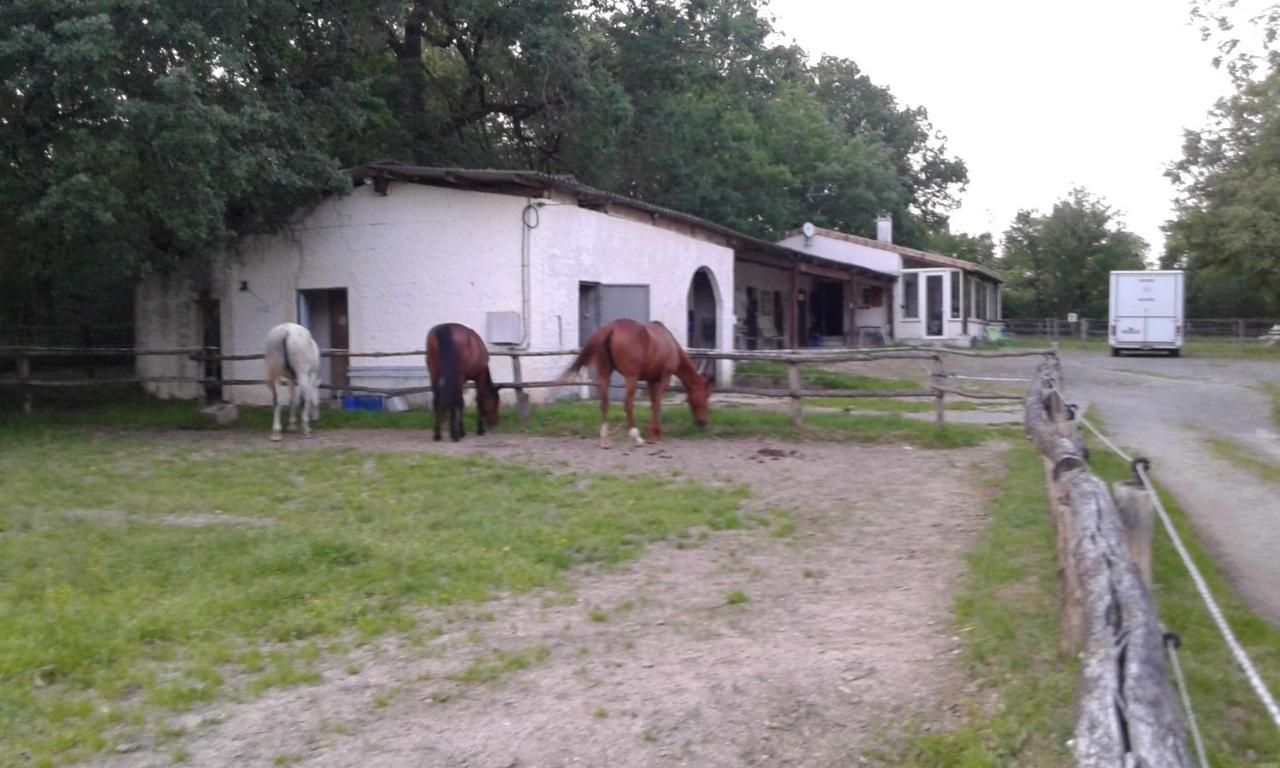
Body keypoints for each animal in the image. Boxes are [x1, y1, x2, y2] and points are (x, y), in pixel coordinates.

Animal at [558, 320, 711, 450]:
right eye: (705, 396)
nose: (703, 423)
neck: (669, 343)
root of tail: (611, 328)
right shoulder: (664, 378)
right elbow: (657, 404)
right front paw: (653, 436)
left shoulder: (651, 381)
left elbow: (653, 404)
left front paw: (657, 433)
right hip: (631, 378)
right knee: (628, 404)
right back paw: (636, 437)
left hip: (604, 375)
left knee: (604, 403)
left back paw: (605, 440)